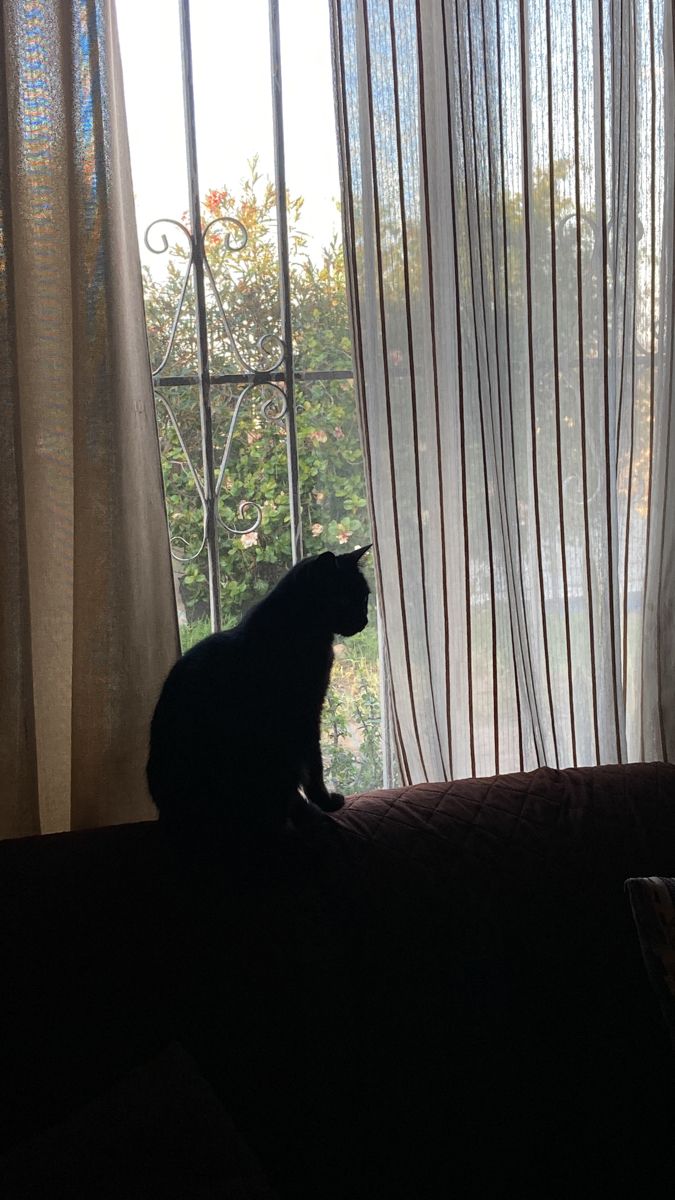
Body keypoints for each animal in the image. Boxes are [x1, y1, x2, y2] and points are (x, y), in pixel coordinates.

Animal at [145, 547, 369, 844]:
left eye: (364, 597)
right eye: (344, 599)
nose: (365, 620)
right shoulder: (306, 715)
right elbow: (315, 767)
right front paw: (326, 802)